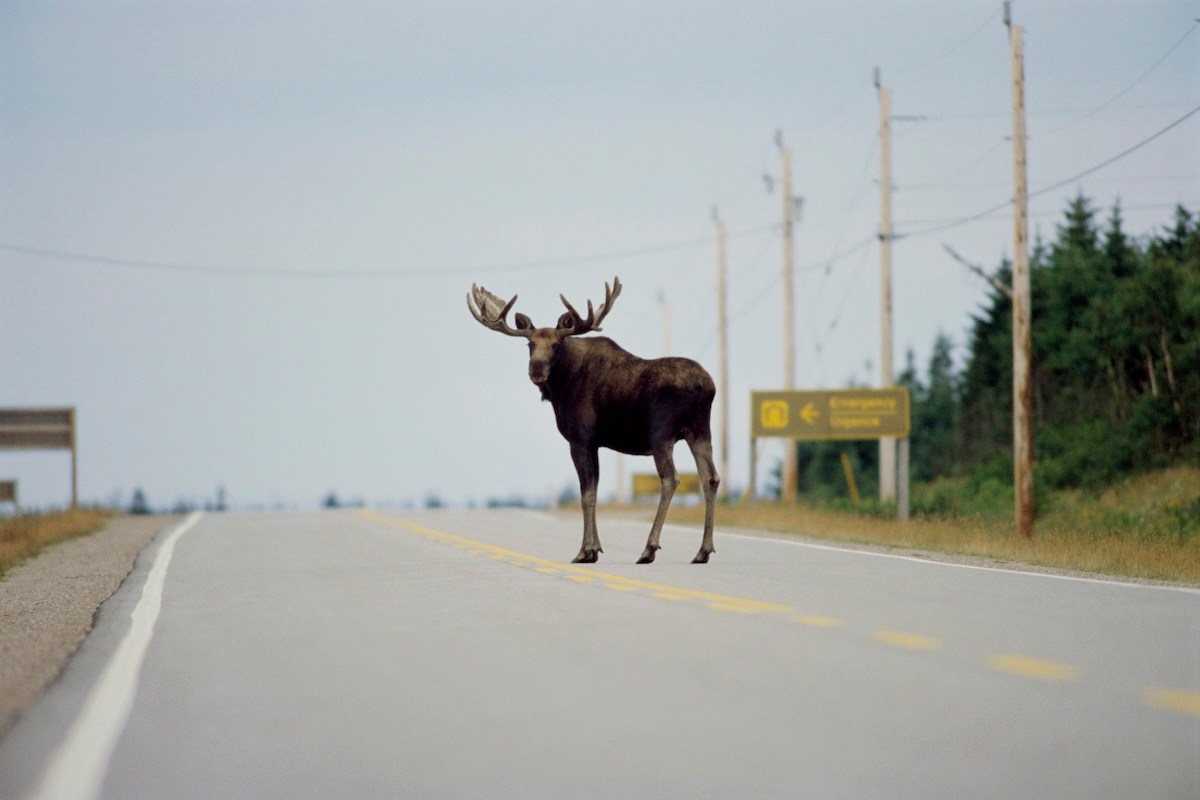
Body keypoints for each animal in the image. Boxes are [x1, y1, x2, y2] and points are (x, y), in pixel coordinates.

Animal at [467, 277, 719, 564]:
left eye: (556, 345)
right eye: (529, 344)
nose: (536, 370)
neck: (560, 386)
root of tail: (706, 386)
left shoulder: (580, 439)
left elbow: (585, 494)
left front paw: (584, 551)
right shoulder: (595, 443)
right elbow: (595, 491)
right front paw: (595, 549)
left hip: (661, 433)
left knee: (670, 479)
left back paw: (649, 548)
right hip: (700, 430)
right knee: (710, 478)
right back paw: (703, 550)